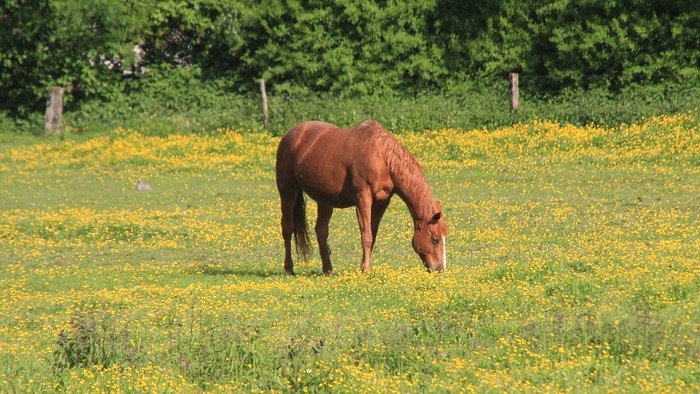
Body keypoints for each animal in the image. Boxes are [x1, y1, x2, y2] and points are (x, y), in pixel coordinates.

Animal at [274, 118, 448, 276]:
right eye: (435, 239)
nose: (440, 268)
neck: (382, 157)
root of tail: (290, 135)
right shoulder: (363, 199)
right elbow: (366, 236)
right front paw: (365, 269)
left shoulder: (381, 203)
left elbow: (373, 235)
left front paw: (365, 267)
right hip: (288, 191)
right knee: (287, 228)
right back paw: (289, 268)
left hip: (324, 199)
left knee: (321, 231)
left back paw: (328, 269)